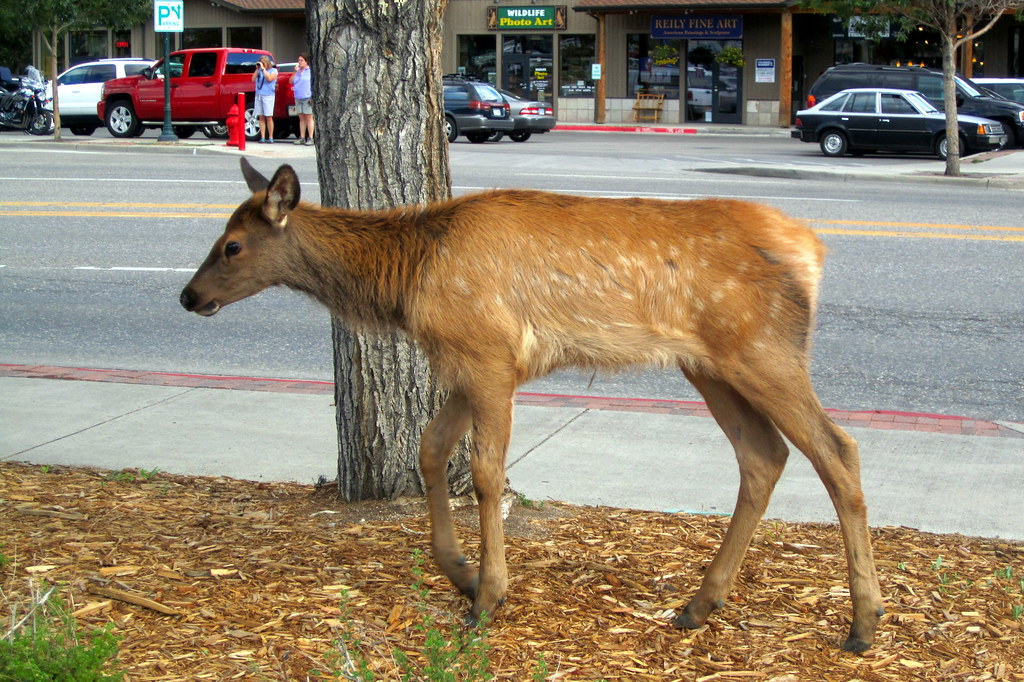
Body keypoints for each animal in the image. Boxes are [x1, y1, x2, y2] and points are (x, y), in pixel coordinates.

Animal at [180, 157, 885, 652]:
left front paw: (487, 596)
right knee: (763, 455)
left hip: (762, 348)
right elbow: (430, 449)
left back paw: (863, 622)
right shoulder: (467, 364)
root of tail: (815, 250)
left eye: (232, 245)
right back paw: (697, 604)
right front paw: (460, 572)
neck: (408, 280)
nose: (189, 296)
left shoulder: (490, 355)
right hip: (709, 363)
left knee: (837, 449)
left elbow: (487, 473)